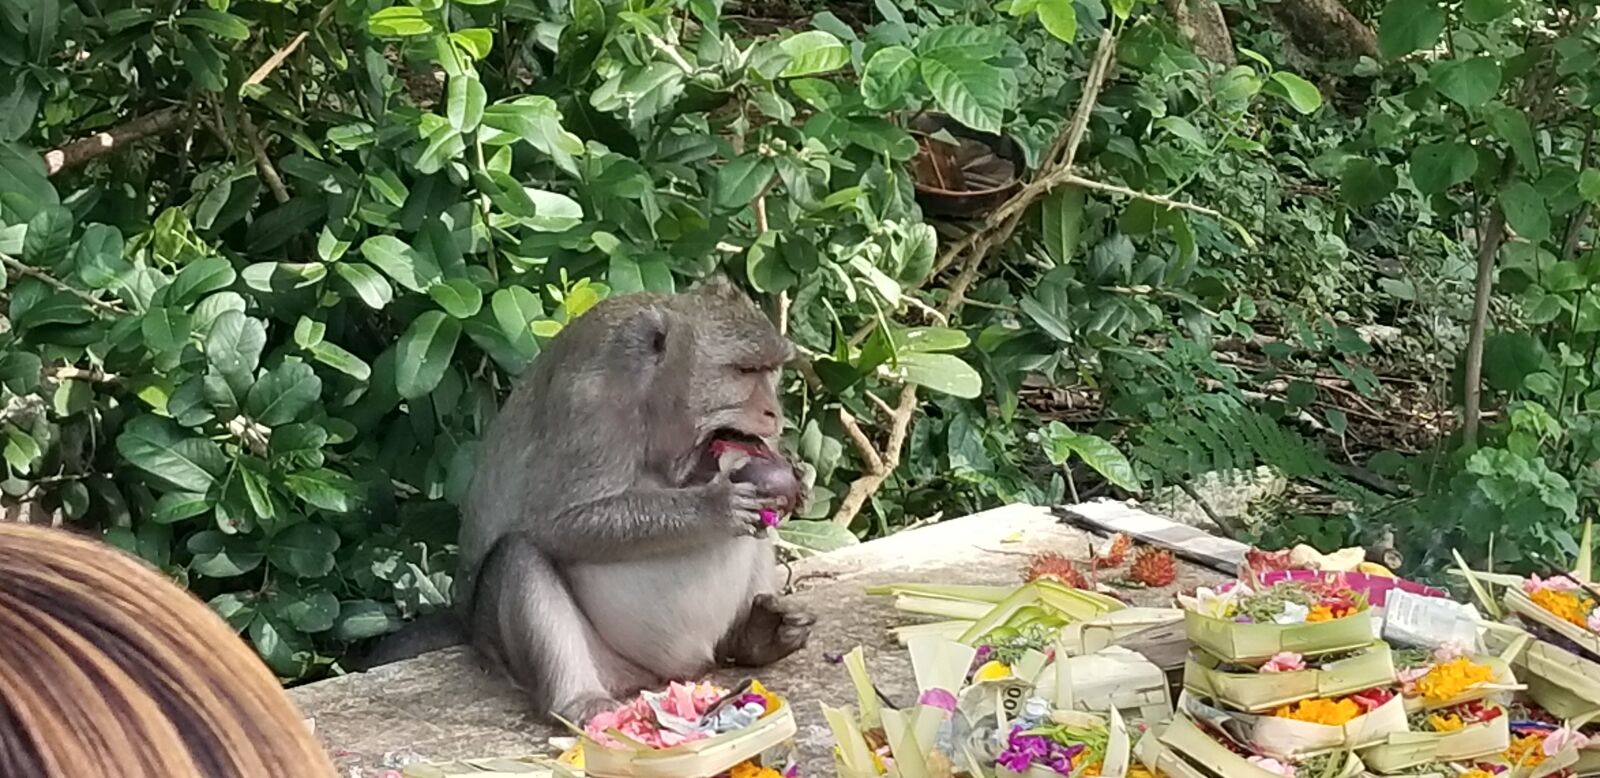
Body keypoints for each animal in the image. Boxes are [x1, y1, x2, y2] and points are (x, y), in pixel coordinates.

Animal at [453, 276, 816, 723]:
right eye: (744, 370)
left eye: (771, 370)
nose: (773, 413)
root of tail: (679, 669)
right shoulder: (591, 403)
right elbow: (557, 523)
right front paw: (715, 508)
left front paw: (797, 479)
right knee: (517, 554)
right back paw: (578, 700)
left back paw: (755, 636)